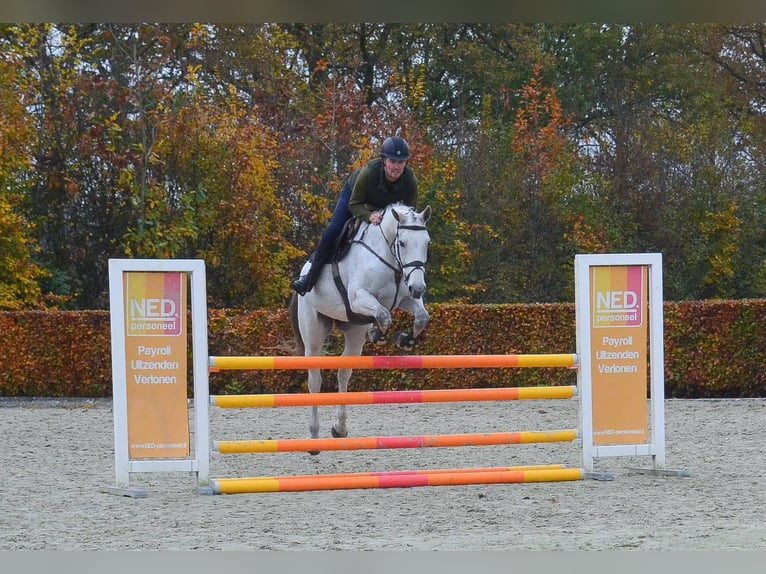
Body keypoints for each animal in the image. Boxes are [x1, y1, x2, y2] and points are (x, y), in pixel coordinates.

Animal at [288, 202, 432, 450]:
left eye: (427, 243)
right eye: (403, 243)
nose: (418, 288)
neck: (389, 258)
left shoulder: (405, 299)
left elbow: (422, 317)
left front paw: (405, 340)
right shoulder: (358, 298)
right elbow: (384, 315)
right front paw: (377, 334)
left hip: (354, 332)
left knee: (344, 372)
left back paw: (339, 428)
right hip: (313, 331)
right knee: (314, 380)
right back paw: (314, 437)